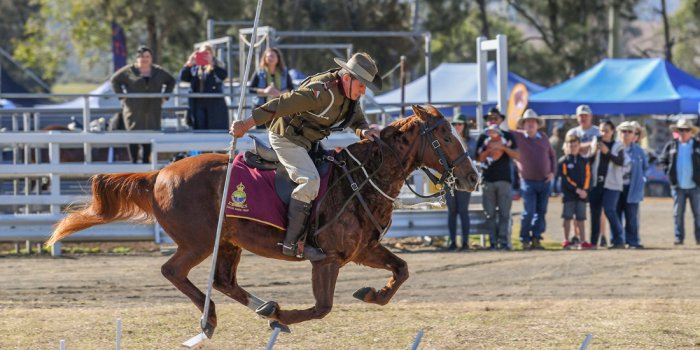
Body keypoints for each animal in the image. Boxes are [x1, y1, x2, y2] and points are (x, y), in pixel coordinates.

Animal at [46, 104, 478, 336]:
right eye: (444, 134)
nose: (473, 178)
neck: (361, 178)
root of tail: (159, 175)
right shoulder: (327, 260)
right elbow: (322, 308)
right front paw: (286, 316)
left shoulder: (363, 250)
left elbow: (401, 270)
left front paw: (372, 294)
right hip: (198, 243)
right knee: (174, 272)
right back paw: (215, 319)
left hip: (227, 243)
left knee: (224, 281)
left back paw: (262, 307)